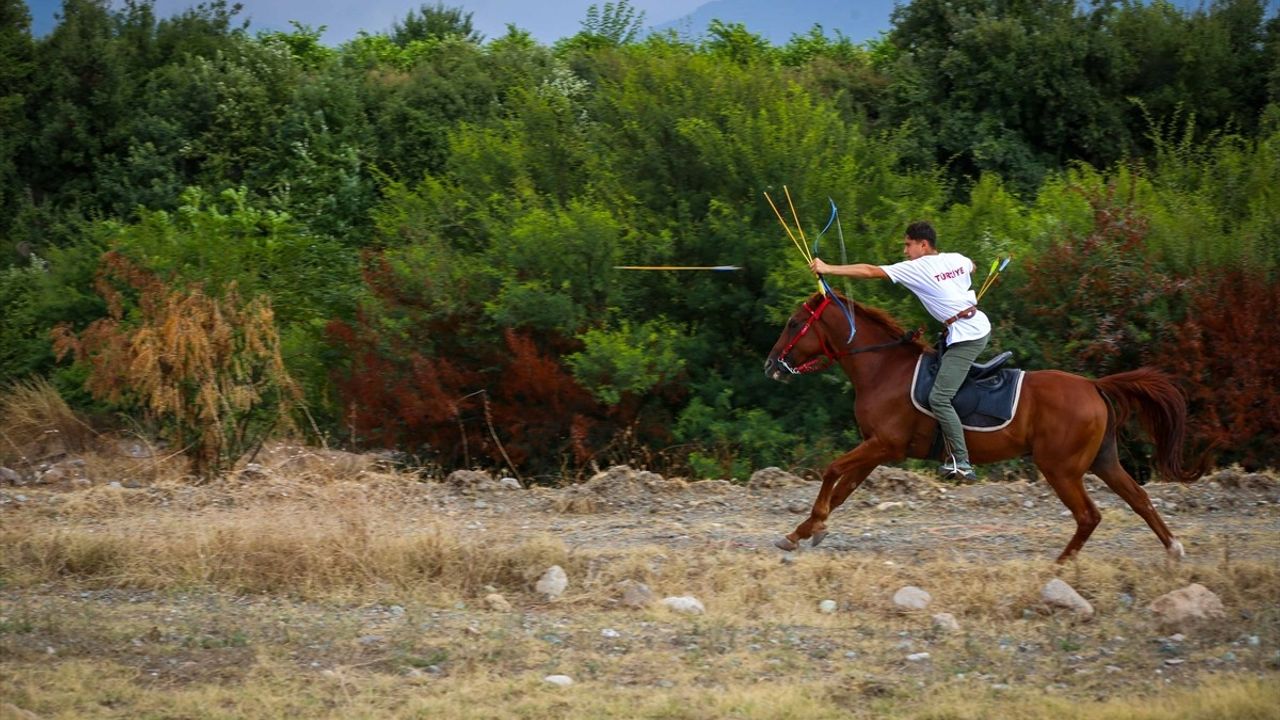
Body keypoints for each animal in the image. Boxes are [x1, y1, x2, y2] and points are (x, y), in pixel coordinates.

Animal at [768, 292, 1198, 561]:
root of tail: (1094, 385)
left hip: (1060, 468)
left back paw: (1059, 564)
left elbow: (832, 471)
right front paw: (806, 531)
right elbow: (843, 490)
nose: (771, 364)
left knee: (1089, 515)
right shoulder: (876, 450)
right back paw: (1174, 550)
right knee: (1139, 499)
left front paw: (811, 526)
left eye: (792, 323)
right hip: (1103, 461)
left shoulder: (884, 445)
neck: (884, 368)